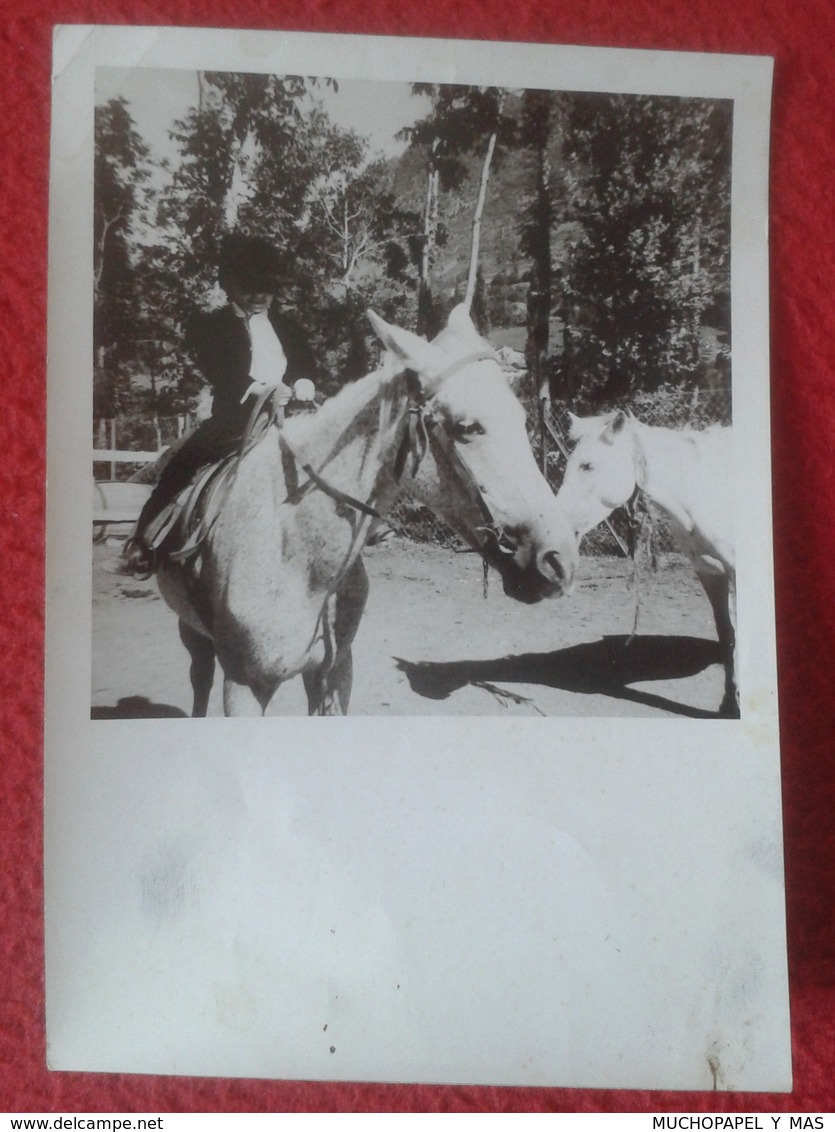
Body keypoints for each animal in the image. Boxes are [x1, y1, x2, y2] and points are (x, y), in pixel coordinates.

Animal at [152, 307, 574, 715]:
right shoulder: (243, 685)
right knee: (200, 678)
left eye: (521, 419)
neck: (298, 552)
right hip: (192, 631)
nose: (560, 562)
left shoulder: (334, 672)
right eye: (467, 426)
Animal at [552, 412, 733, 719]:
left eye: (588, 465)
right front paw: (730, 704)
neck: (704, 488)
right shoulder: (710, 574)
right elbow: (728, 635)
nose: (558, 527)